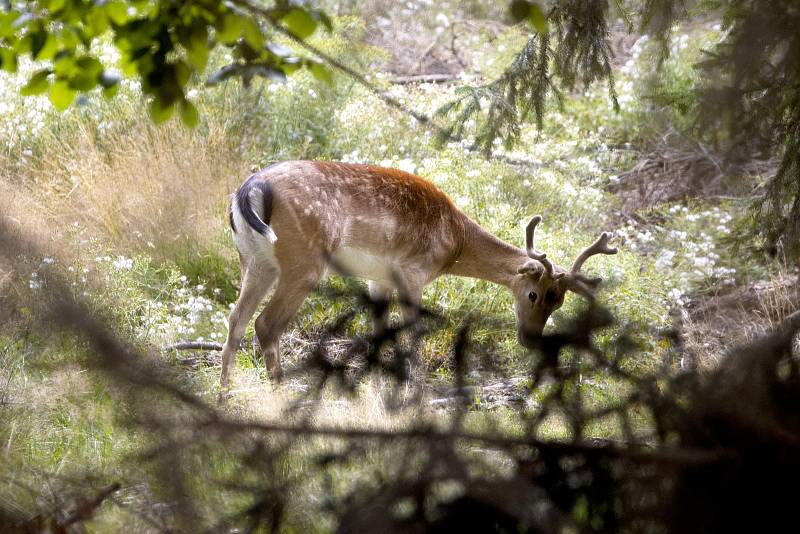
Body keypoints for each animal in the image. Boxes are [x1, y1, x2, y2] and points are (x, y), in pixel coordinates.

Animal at [220, 161, 620, 388]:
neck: (454, 243)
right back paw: (278, 396)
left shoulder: (378, 278)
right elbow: (413, 338)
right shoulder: (412, 270)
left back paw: (225, 398)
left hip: (255, 260)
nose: (530, 338)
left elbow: (378, 338)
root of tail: (249, 189)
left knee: (236, 318)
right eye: (533, 294)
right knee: (266, 324)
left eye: (559, 302)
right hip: (303, 260)